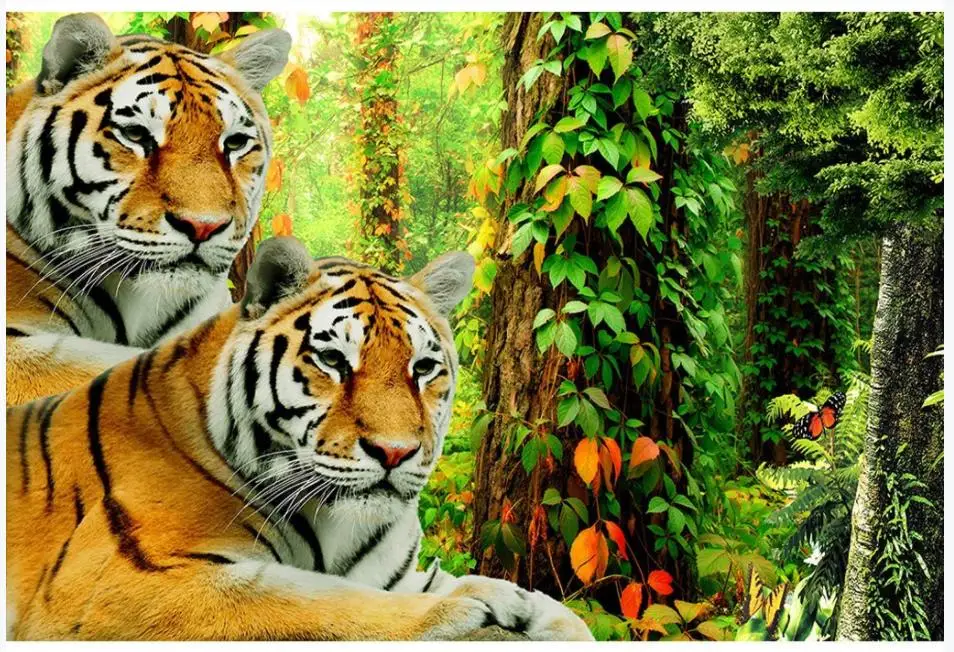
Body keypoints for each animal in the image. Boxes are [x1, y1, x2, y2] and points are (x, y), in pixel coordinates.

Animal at [6, 236, 594, 641]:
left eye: (424, 368)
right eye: (333, 360)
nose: (395, 452)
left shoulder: (402, 576)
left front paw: (536, 609)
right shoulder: (119, 580)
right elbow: (321, 600)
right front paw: (476, 602)